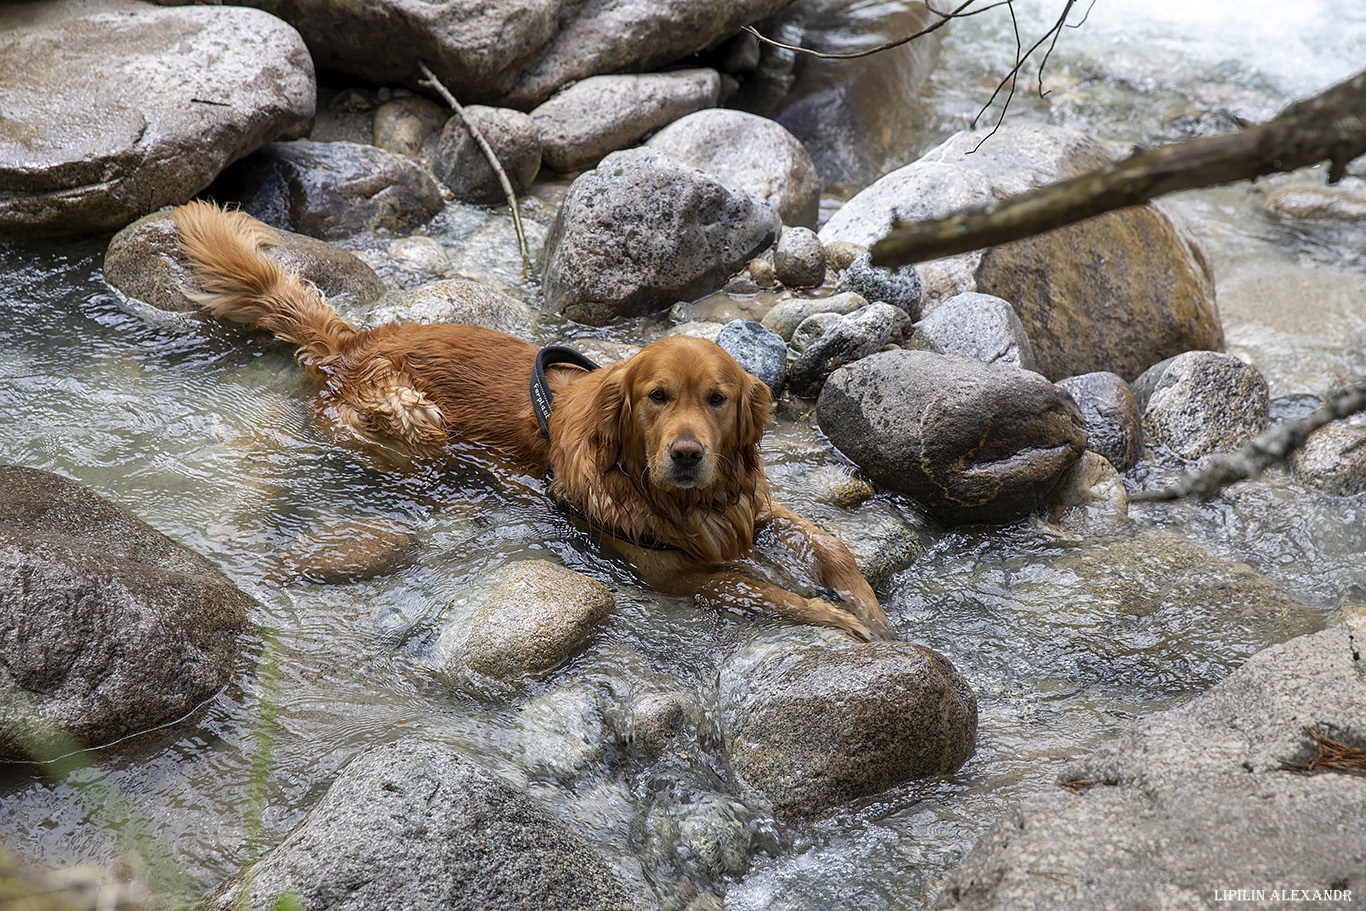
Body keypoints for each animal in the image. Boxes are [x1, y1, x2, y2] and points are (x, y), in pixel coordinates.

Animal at [170, 200, 890, 641]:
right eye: (657, 396)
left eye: (717, 399)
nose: (686, 454)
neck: (687, 504)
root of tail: (349, 340)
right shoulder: (674, 574)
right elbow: (766, 591)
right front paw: (838, 619)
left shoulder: (749, 505)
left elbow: (830, 542)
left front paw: (866, 604)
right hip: (415, 419)